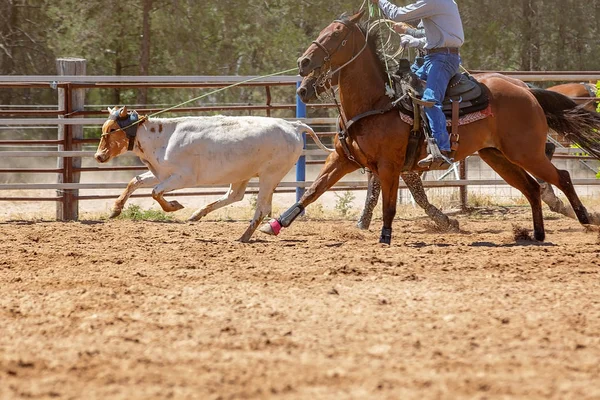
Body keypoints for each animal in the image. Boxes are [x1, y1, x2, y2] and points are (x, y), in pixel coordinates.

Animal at [92, 106, 332, 242]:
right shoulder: (162, 174)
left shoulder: (183, 177)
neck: (161, 138)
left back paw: (244, 236)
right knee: (235, 196)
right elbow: (136, 181)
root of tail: (294, 126)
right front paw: (116, 209)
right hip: (243, 175)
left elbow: (155, 192)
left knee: (262, 208)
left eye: (113, 129)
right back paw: (198, 214)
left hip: (270, 175)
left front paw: (174, 206)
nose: (98, 156)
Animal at [260, 11, 600, 244]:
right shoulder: (343, 159)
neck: (377, 101)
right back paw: (537, 234)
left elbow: (390, 204)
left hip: (526, 152)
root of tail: (526, 90)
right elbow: (312, 191)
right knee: (531, 187)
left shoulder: (390, 165)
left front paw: (385, 235)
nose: (303, 64)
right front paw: (275, 224)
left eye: (337, 34)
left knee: (561, 176)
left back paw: (584, 218)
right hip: (497, 156)